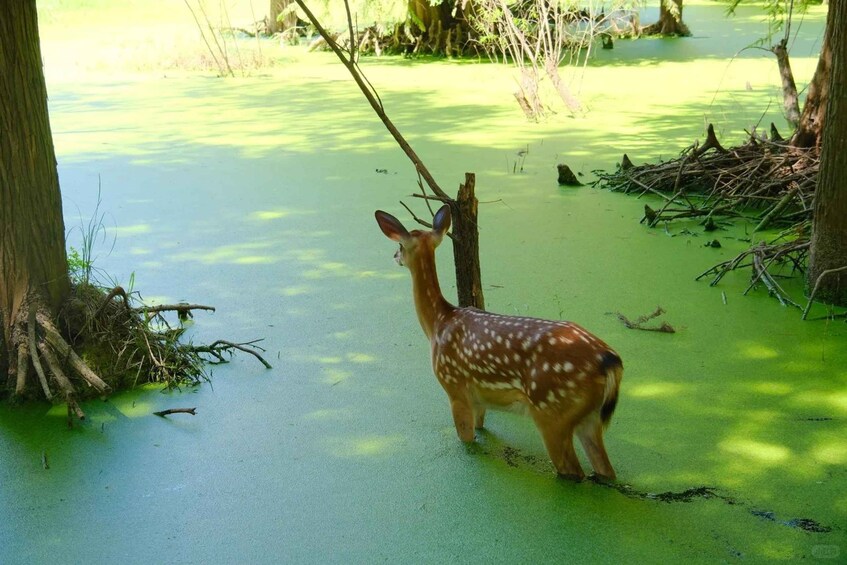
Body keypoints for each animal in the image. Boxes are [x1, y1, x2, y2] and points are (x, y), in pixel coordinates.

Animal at [375, 204, 623, 480]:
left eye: (401, 244)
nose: (394, 255)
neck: (438, 323)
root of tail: (609, 361)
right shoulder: (479, 399)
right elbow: (480, 426)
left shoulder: (454, 385)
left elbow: (466, 438)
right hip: (589, 418)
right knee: (605, 469)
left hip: (551, 410)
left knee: (572, 470)